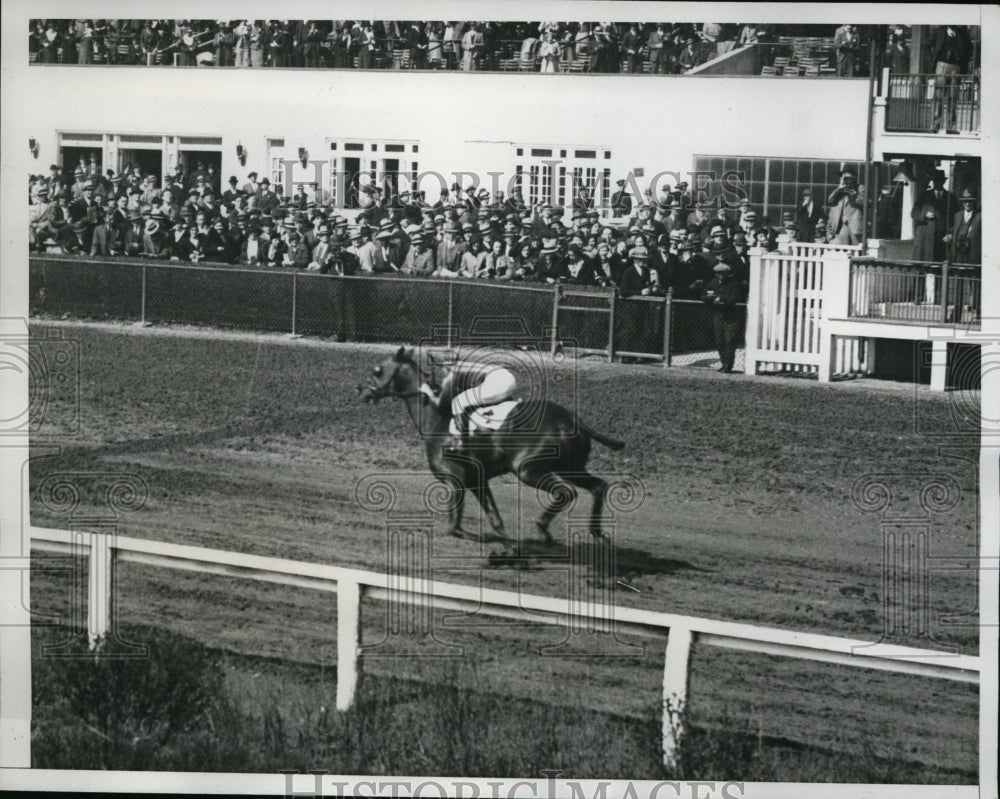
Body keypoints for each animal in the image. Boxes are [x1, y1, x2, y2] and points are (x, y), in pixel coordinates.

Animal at [360, 346, 624, 548]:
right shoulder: (476, 479)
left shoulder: (454, 480)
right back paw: (596, 533)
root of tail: (571, 419)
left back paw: (543, 529)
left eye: (377, 370)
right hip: (572, 467)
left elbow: (453, 527)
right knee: (599, 486)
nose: (361, 391)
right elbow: (494, 520)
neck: (436, 420)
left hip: (528, 469)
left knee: (566, 491)